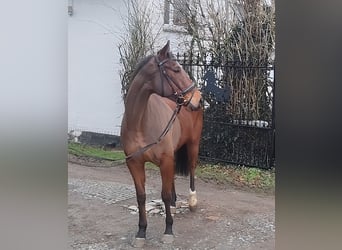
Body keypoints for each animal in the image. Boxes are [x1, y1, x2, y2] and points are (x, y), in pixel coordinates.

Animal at [119, 41, 202, 246]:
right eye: (176, 69)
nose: (198, 98)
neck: (140, 122)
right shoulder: (134, 163)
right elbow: (141, 197)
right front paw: (141, 232)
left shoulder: (165, 160)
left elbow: (164, 195)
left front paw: (168, 231)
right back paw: (173, 204)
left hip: (193, 145)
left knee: (192, 168)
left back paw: (192, 201)